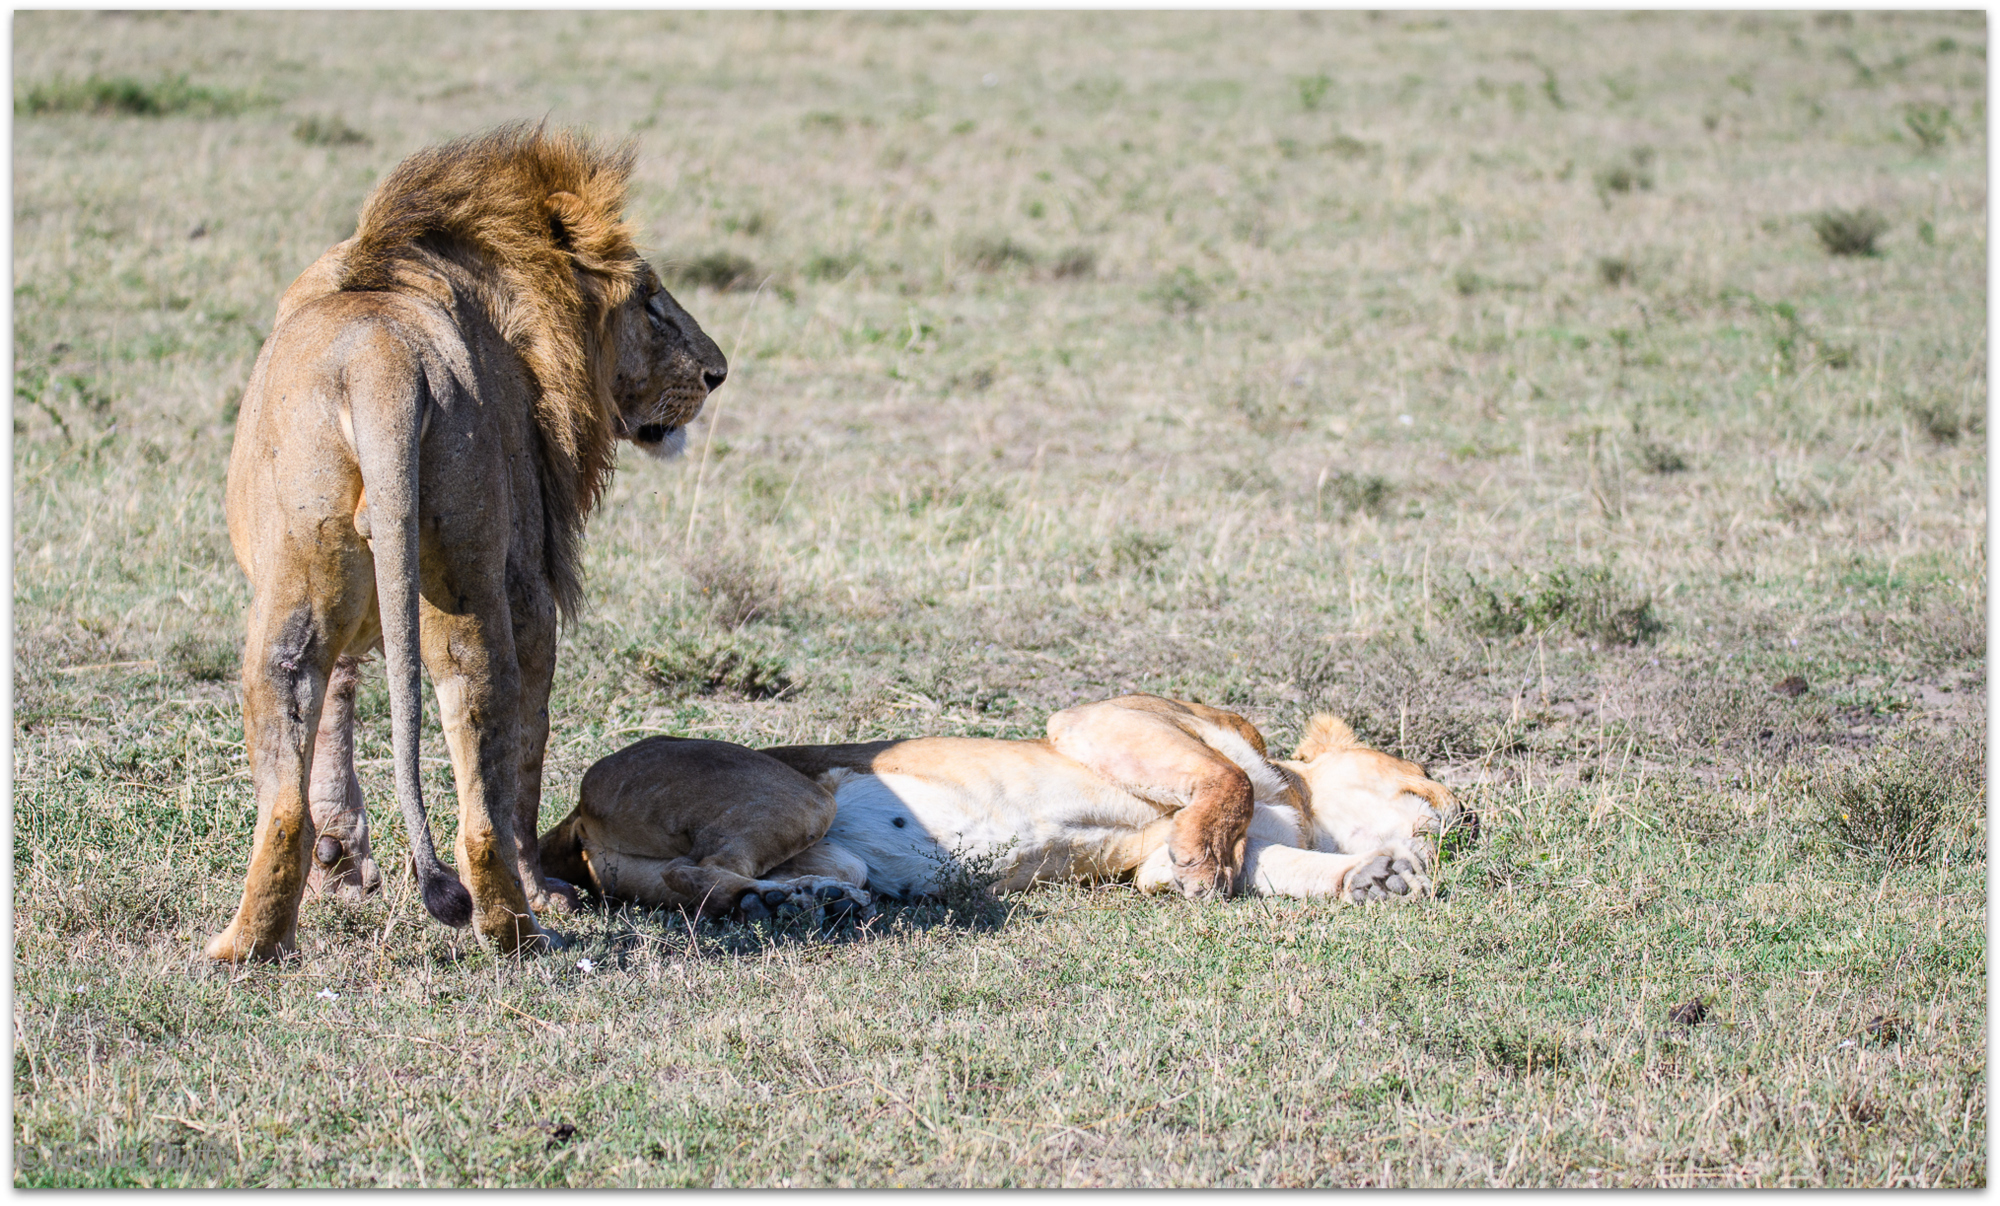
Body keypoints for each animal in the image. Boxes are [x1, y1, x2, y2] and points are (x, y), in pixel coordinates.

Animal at [203, 125, 732, 964]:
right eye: (649, 298)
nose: (718, 372)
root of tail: (379, 362)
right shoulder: (532, 580)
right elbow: (530, 747)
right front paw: (545, 885)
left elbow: (340, 708)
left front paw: (340, 867)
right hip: (471, 573)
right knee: (487, 764)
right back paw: (517, 921)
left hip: (300, 579)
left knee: (287, 747)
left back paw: (250, 943)